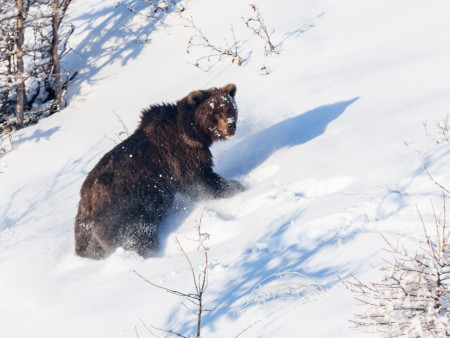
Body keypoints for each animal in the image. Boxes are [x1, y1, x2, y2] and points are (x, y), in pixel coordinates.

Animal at [74, 84, 243, 258]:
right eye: (215, 111)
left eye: (230, 108)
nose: (230, 125)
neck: (191, 131)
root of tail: (85, 204)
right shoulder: (180, 155)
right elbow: (199, 179)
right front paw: (236, 186)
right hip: (125, 211)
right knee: (138, 235)